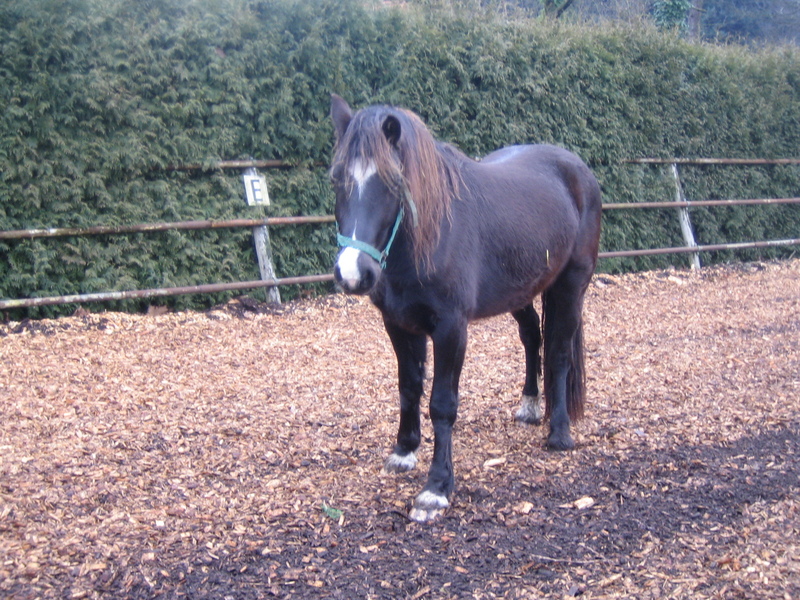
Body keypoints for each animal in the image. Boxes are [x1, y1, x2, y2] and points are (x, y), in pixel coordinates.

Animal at [328, 94, 596, 520]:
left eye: (392, 183)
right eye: (337, 180)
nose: (353, 273)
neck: (428, 236)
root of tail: (578, 170)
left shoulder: (451, 329)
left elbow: (442, 404)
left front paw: (436, 489)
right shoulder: (399, 324)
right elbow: (408, 387)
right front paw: (404, 451)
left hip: (571, 285)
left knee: (557, 353)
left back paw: (559, 432)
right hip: (518, 291)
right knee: (532, 338)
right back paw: (530, 407)